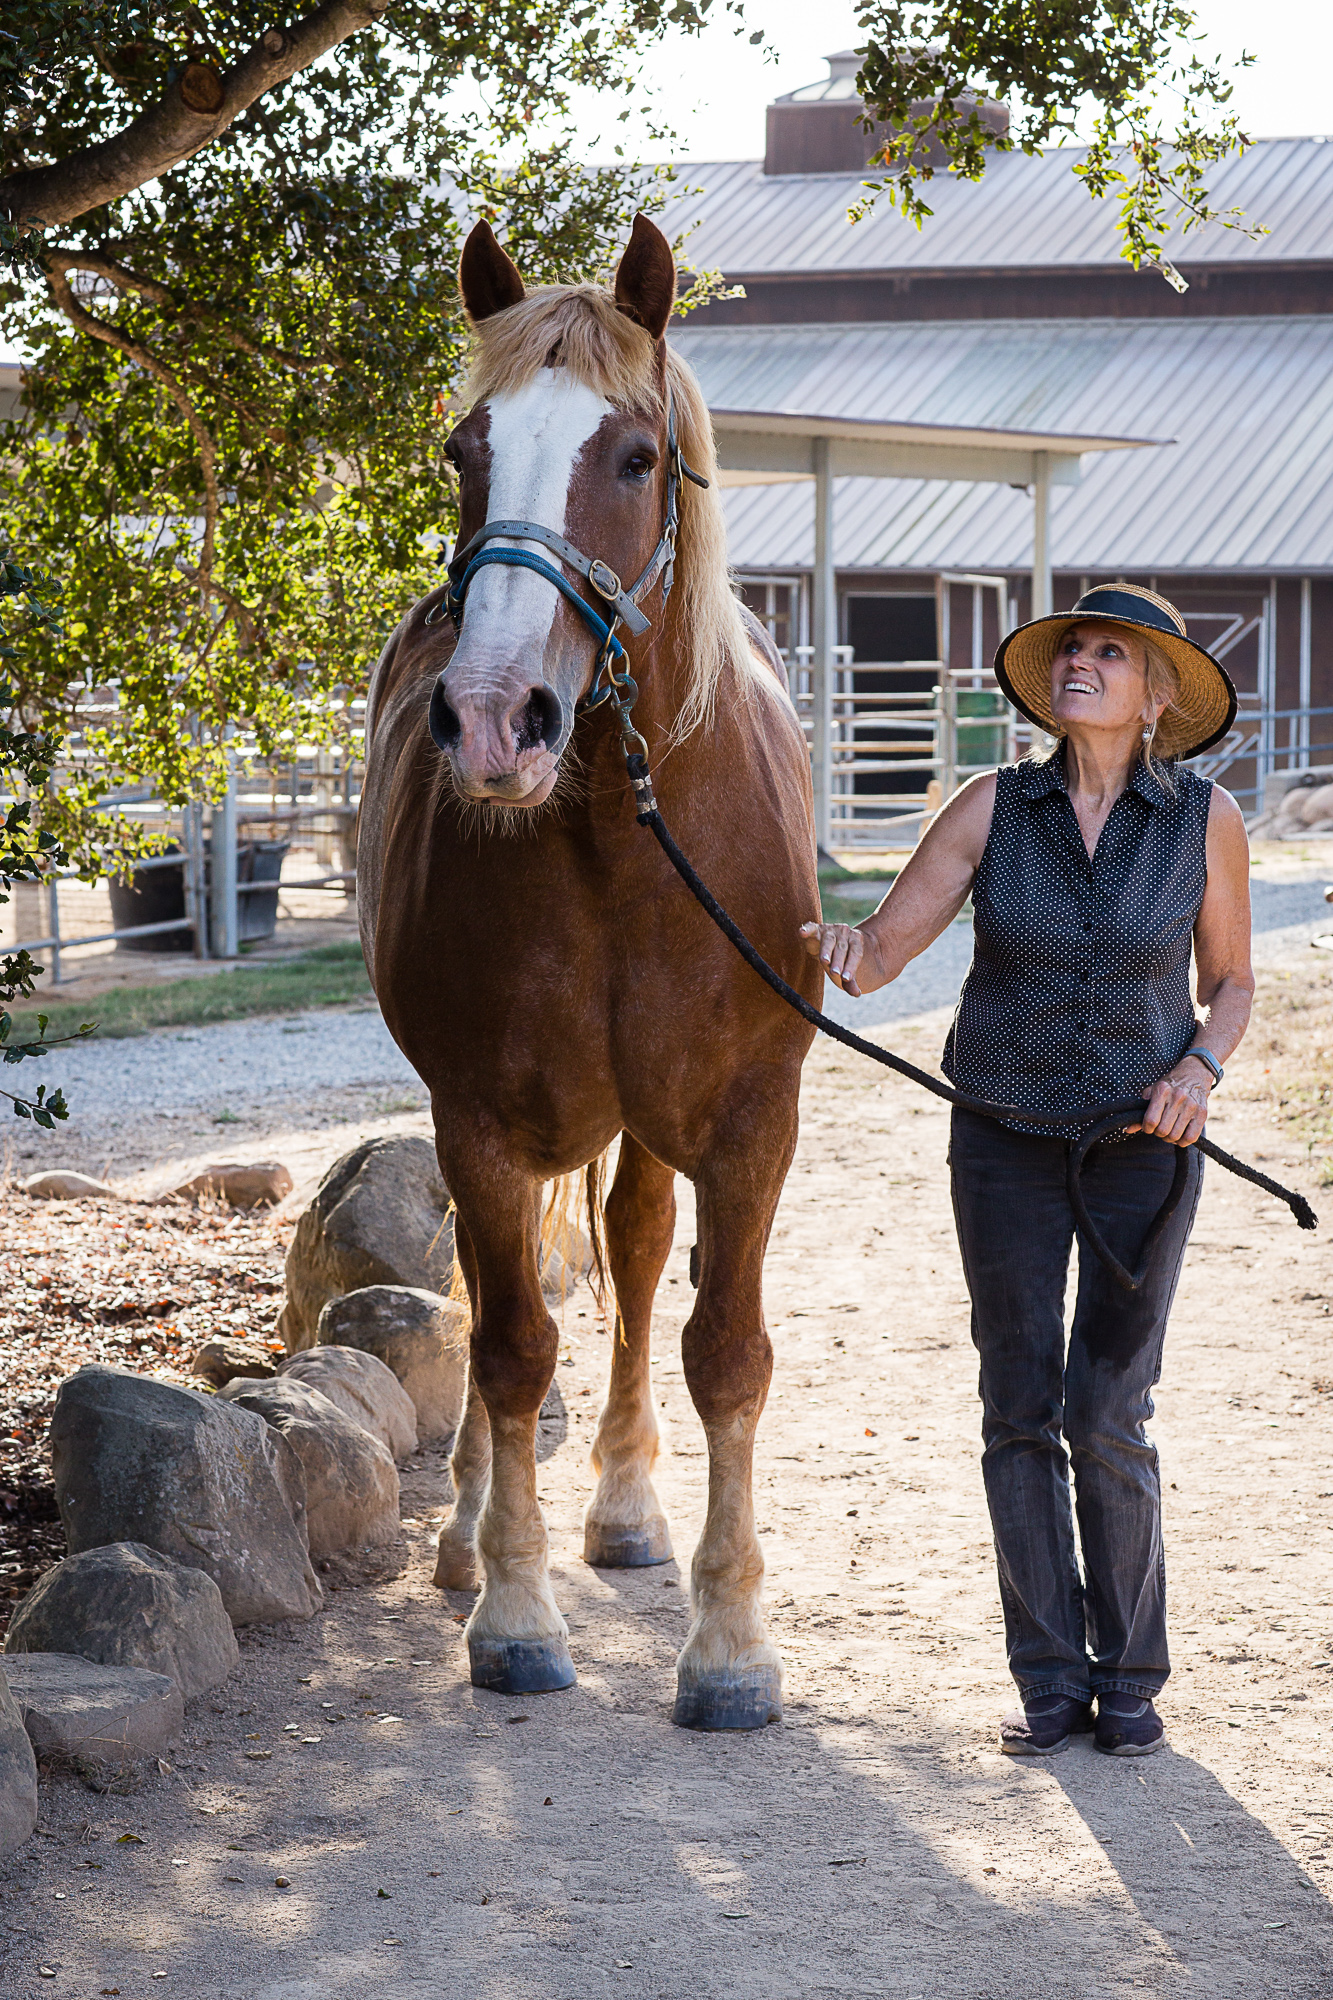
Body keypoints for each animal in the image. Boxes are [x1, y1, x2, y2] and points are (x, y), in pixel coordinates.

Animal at [364, 211, 820, 1728]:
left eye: (631, 455)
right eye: (466, 450)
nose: (495, 716)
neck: (623, 845)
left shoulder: (748, 1121)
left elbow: (726, 1352)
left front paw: (729, 1644)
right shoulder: (478, 1120)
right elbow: (508, 1350)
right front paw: (510, 1614)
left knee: (634, 1244)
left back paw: (623, 1510)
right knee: (488, 1298)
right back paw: (462, 1531)